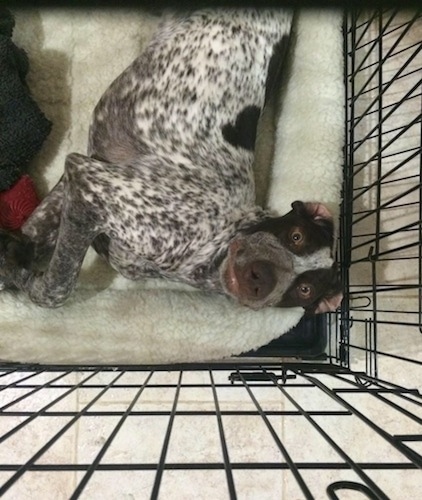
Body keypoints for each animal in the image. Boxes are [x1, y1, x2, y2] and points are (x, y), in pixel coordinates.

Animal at [0, 7, 342, 312]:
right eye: (295, 236)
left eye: (304, 289)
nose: (260, 278)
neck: (216, 240)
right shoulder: (91, 183)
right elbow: (56, 290)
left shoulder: (83, 175)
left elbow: (37, 252)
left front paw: (13, 262)